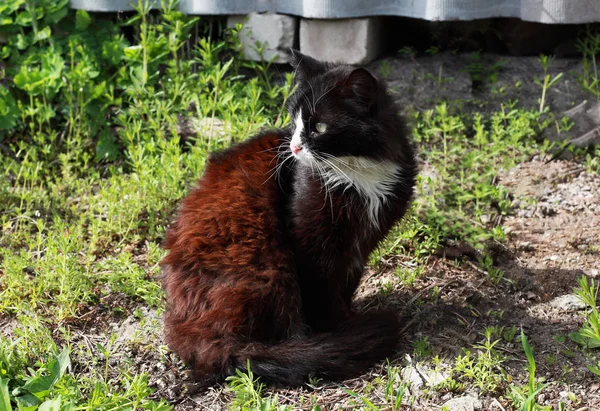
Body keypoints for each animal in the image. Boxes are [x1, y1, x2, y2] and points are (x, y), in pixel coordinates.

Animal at [162, 50, 420, 388]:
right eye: (295, 122)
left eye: (320, 127)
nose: (295, 147)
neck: (358, 175)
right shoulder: (311, 244)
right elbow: (322, 293)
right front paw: (337, 332)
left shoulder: (359, 247)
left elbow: (345, 286)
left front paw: (346, 321)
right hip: (268, 263)